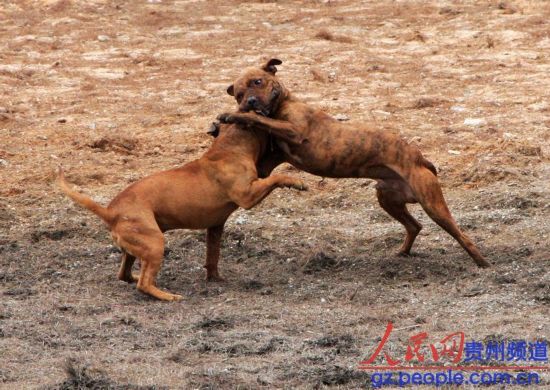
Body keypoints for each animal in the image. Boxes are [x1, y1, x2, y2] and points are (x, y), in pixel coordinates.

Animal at [58, 123, 308, 300]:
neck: (229, 147)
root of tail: (110, 211)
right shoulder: (248, 196)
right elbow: (276, 178)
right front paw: (295, 182)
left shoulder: (215, 226)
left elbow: (213, 256)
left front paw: (215, 278)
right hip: (155, 244)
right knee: (143, 284)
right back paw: (168, 296)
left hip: (135, 247)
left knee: (126, 275)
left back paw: (143, 279)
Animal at [220, 58, 492, 268]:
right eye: (239, 94)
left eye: (258, 82)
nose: (249, 102)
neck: (284, 103)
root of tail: (420, 158)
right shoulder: (271, 159)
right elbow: (262, 161)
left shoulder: (293, 130)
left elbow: (262, 120)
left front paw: (232, 116)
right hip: (388, 198)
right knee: (415, 226)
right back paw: (403, 252)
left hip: (432, 204)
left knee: (460, 234)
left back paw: (482, 263)